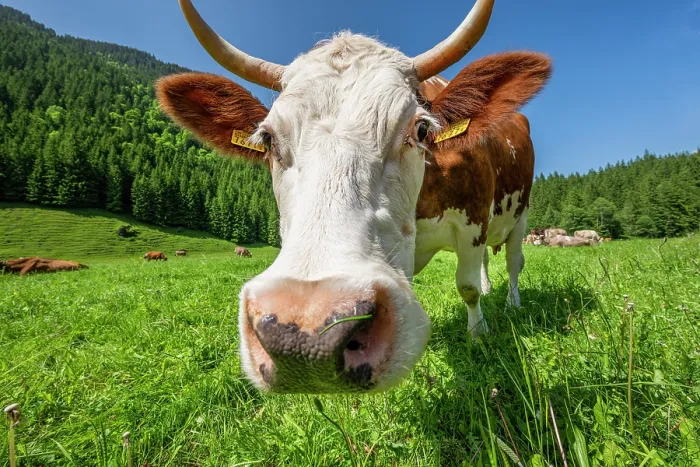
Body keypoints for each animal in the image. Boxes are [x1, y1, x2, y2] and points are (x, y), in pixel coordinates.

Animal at [156, 0, 551, 393]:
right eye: (267, 139)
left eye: (421, 129)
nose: (307, 333)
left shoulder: (473, 218)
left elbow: (467, 288)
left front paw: (478, 335)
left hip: (522, 213)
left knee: (513, 262)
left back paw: (513, 303)